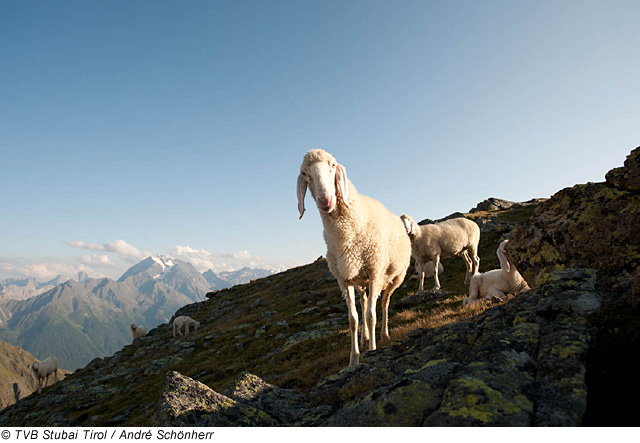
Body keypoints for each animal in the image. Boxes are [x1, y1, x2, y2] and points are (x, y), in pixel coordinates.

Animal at [298, 149, 412, 368]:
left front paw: (372, 351)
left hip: (395, 277)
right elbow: (353, 319)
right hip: (360, 280)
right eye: (305, 174)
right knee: (365, 301)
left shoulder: (375, 272)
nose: (325, 201)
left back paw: (383, 334)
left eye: (332, 165)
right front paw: (354, 358)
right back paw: (364, 337)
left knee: (384, 303)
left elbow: (371, 316)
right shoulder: (343, 280)